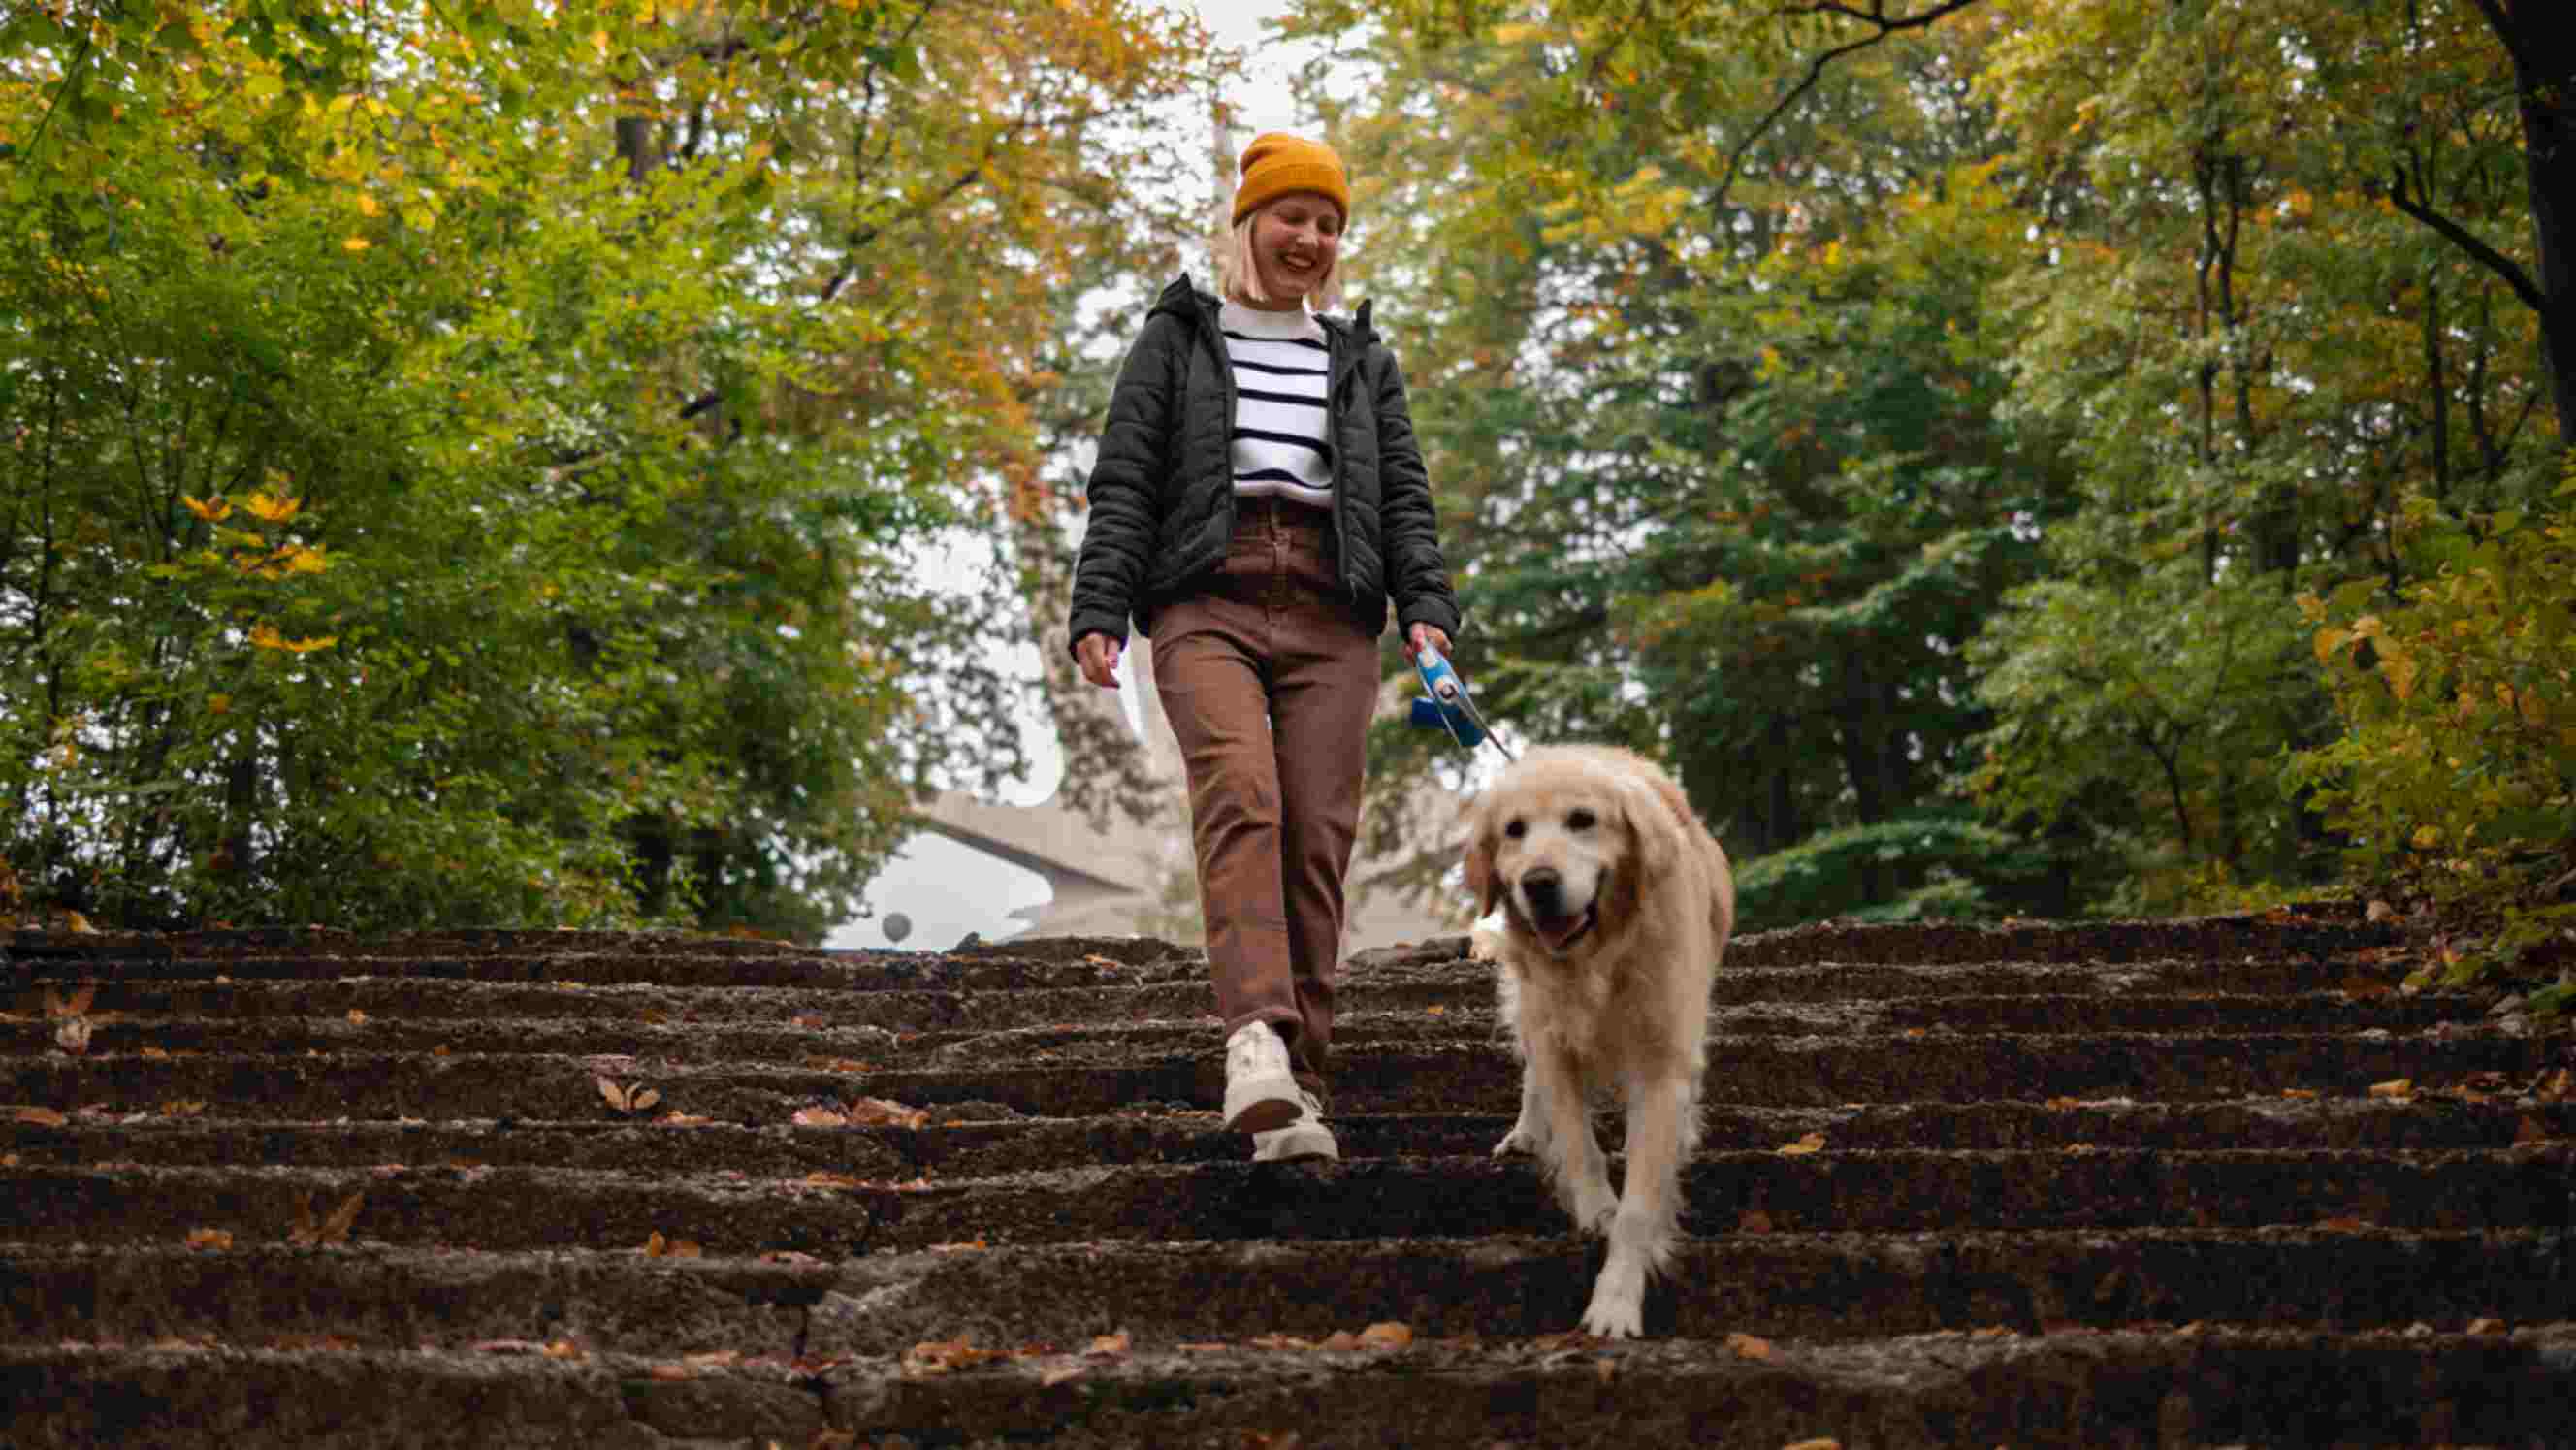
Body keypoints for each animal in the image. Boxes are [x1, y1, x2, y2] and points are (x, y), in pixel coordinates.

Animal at [1463, 747, 1741, 1338]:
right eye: (1514, 830)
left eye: (1583, 819)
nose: (1539, 882)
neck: (1599, 956)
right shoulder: (1556, 1042)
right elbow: (1577, 1142)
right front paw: (1595, 1211)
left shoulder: (1664, 1061)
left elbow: (1639, 1205)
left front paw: (1615, 1301)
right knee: (1531, 1075)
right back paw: (1525, 1132)